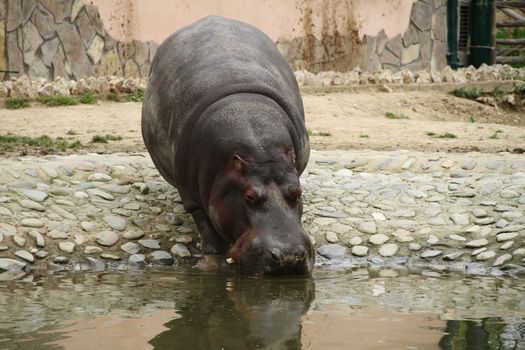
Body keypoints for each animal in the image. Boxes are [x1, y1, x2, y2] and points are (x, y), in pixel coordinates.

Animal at [141, 15, 312, 274]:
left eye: (298, 191)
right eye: (249, 196)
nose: (288, 257)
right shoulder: (192, 197)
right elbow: (206, 227)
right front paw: (210, 266)